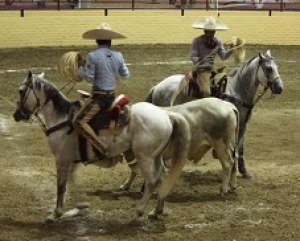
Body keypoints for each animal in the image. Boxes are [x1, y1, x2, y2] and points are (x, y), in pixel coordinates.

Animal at [12, 71, 190, 224]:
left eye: (21, 91)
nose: (17, 115)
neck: (62, 119)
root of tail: (166, 114)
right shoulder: (73, 159)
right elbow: (71, 180)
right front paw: (82, 204)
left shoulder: (61, 159)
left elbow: (61, 186)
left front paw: (55, 213)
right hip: (156, 156)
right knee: (163, 176)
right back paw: (157, 210)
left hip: (144, 157)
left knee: (152, 180)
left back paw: (139, 212)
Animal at [144, 50, 284, 179]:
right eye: (269, 68)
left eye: (277, 67)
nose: (279, 88)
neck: (236, 92)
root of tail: (157, 87)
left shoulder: (244, 125)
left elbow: (240, 148)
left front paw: (244, 171)